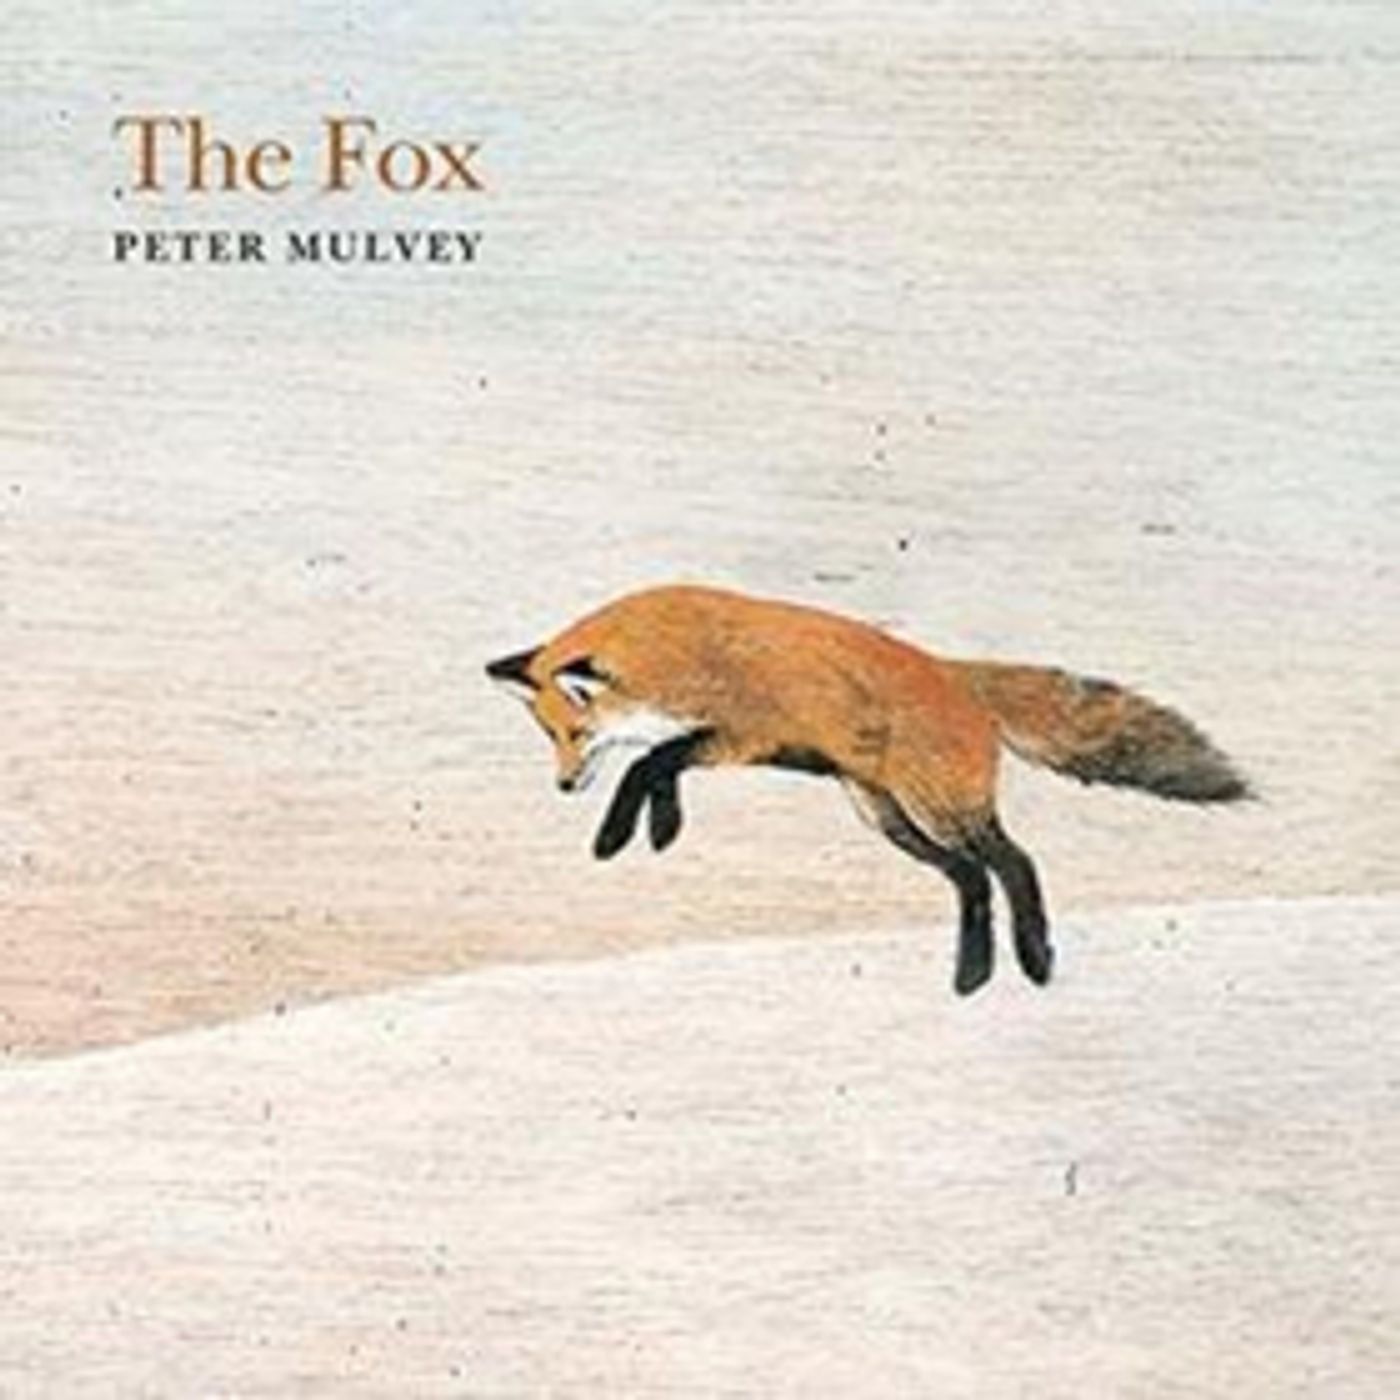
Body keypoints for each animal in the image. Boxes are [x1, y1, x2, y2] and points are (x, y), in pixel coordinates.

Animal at [487, 584, 1250, 995]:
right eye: (549, 736)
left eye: (575, 734)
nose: (562, 785)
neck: (678, 651)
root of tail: (955, 672)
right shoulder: (726, 742)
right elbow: (659, 766)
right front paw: (657, 826)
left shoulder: (744, 733)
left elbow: (651, 763)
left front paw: (622, 833)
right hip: (887, 817)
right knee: (971, 878)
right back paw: (972, 975)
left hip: (940, 807)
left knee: (1014, 863)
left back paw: (1032, 960)